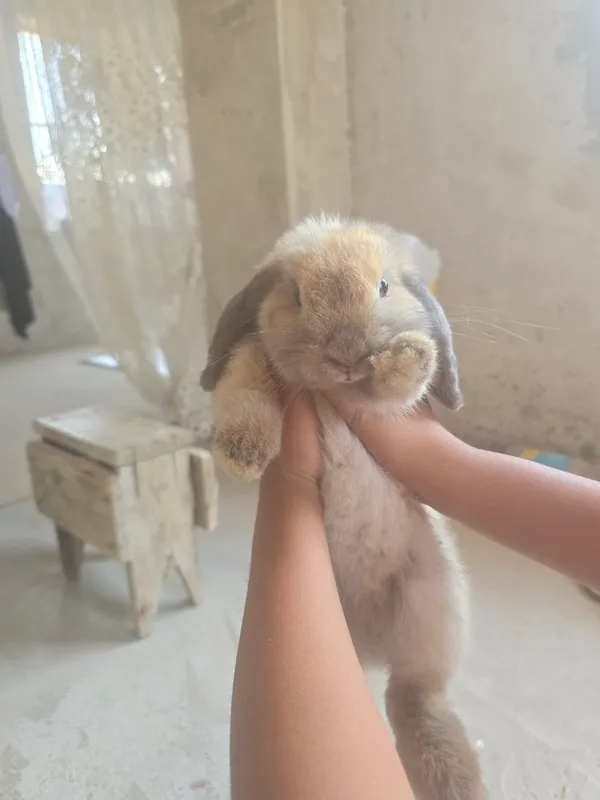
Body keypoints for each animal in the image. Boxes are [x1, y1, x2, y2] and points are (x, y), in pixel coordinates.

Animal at [201, 215, 485, 800]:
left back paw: (459, 786)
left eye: (384, 286)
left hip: (433, 616)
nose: (348, 356)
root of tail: (373, 644)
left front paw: (410, 353)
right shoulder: (251, 367)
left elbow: (400, 385)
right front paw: (242, 455)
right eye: (295, 295)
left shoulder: (389, 410)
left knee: (415, 702)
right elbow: (244, 394)